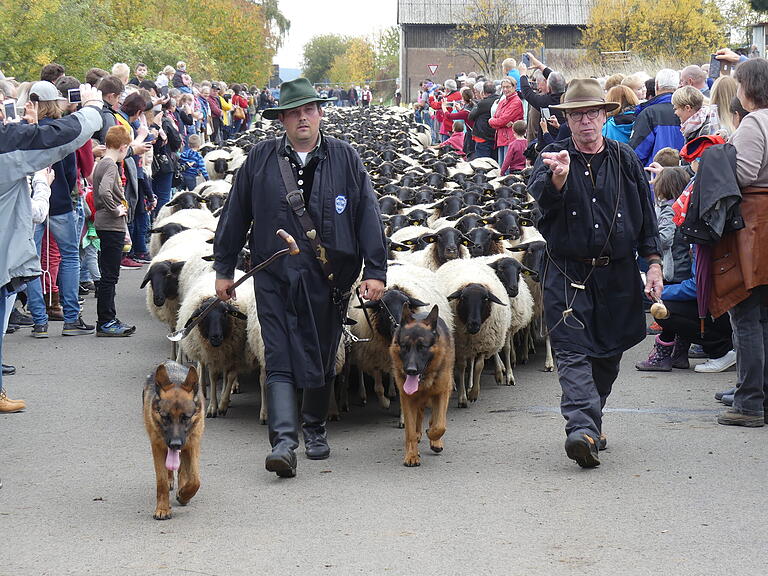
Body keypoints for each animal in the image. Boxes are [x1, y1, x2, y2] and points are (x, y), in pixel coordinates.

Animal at [143, 362, 206, 520]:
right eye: (166, 417)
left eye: (185, 418)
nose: (175, 444)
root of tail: (169, 363)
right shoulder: (157, 446)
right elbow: (162, 482)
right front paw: (163, 509)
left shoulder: (193, 444)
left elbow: (195, 480)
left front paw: (184, 494)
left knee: (182, 469)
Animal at [388, 304, 452, 466]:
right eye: (404, 346)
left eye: (422, 346)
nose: (410, 370)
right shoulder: (407, 398)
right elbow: (410, 430)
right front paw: (411, 455)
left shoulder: (442, 393)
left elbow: (440, 425)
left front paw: (434, 437)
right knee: (419, 415)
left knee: (433, 417)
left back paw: (434, 439)